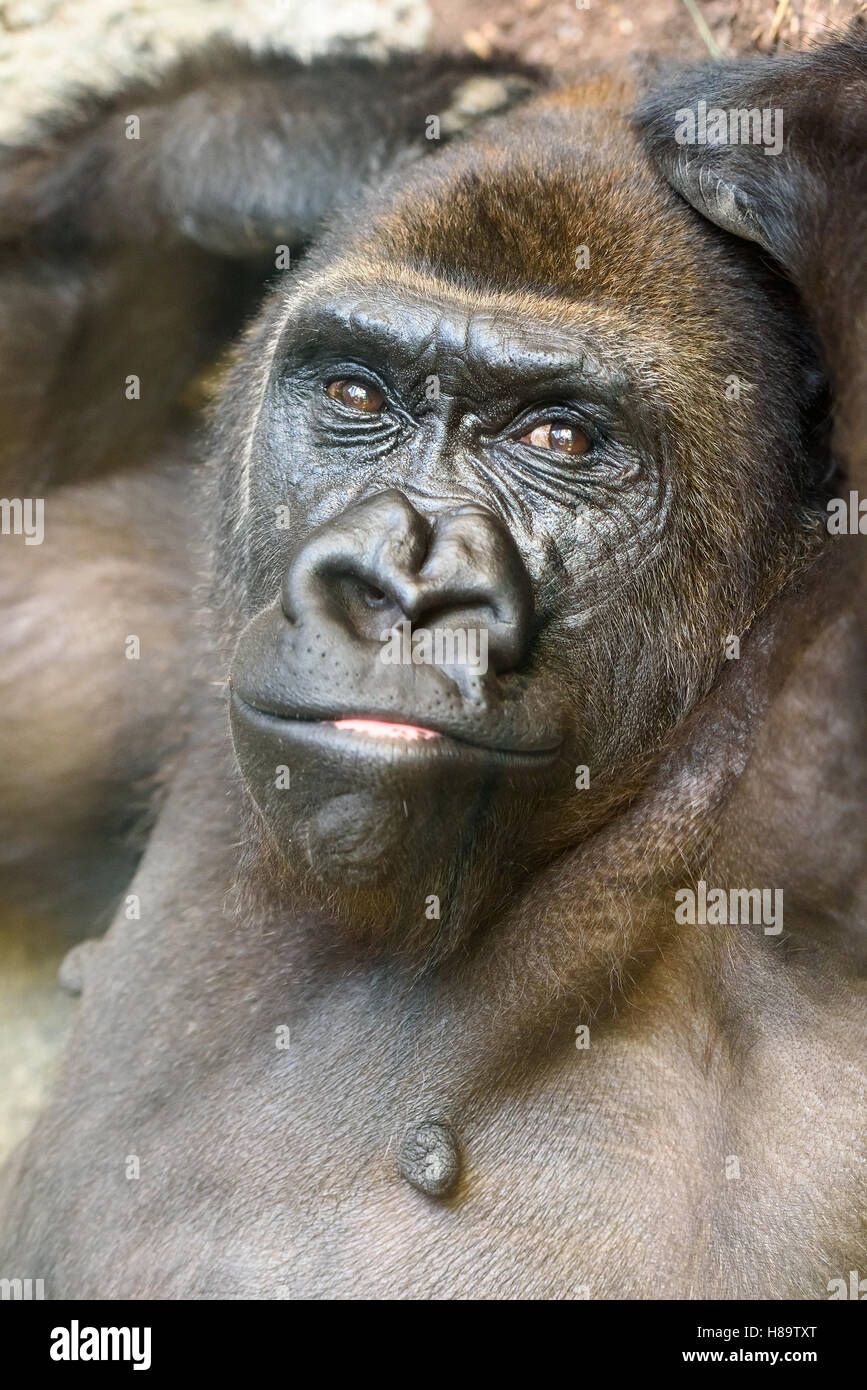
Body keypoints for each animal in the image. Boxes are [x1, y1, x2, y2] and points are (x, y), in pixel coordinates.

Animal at [0, 32, 861, 1295]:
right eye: (357, 392)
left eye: (561, 437)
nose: (395, 588)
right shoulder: (164, 605)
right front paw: (277, 143)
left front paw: (759, 128)